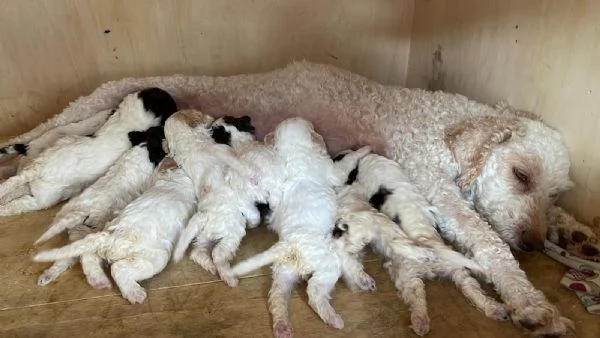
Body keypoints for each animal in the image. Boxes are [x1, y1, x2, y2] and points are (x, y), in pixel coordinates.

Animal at [0, 88, 177, 217]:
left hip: (39, 189)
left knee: (17, 194)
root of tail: (40, 169)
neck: (126, 121)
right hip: (45, 197)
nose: (165, 92)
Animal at [230, 118, 376, 338]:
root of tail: (290, 245)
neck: (293, 150)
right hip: (327, 264)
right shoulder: (333, 171)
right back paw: (334, 318)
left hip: (284, 271)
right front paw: (364, 149)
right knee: (315, 291)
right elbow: (346, 163)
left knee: (277, 296)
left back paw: (282, 326)